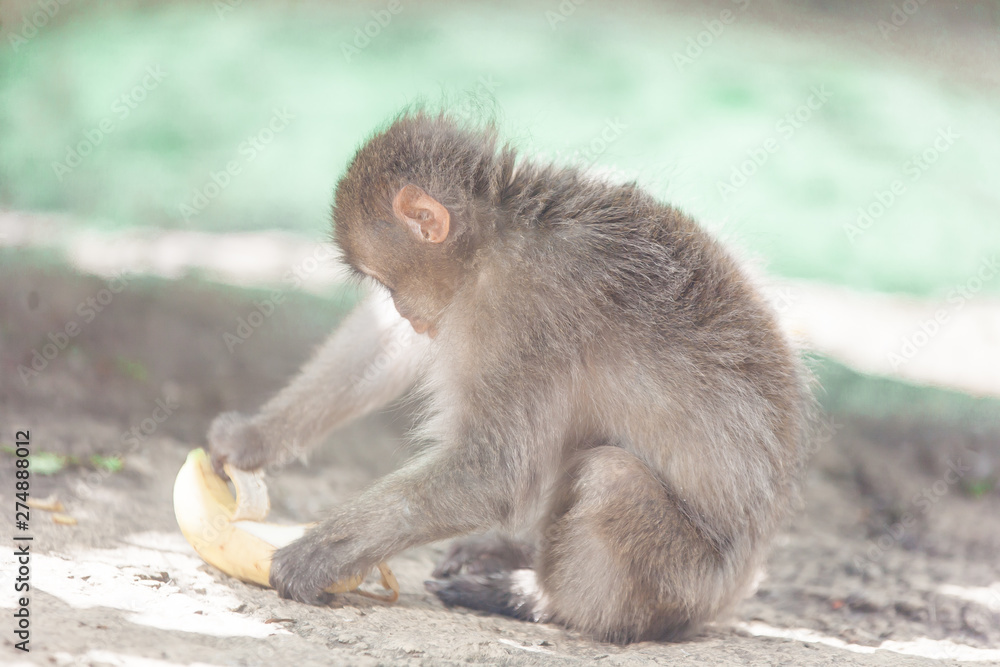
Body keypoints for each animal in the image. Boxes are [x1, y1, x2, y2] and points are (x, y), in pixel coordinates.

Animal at [207, 109, 812, 644]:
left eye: (384, 280)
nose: (403, 309)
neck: (499, 229)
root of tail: (740, 587)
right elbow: (389, 350)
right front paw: (254, 437)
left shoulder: (519, 307)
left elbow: (490, 471)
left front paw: (316, 557)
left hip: (687, 584)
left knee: (610, 476)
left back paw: (541, 600)